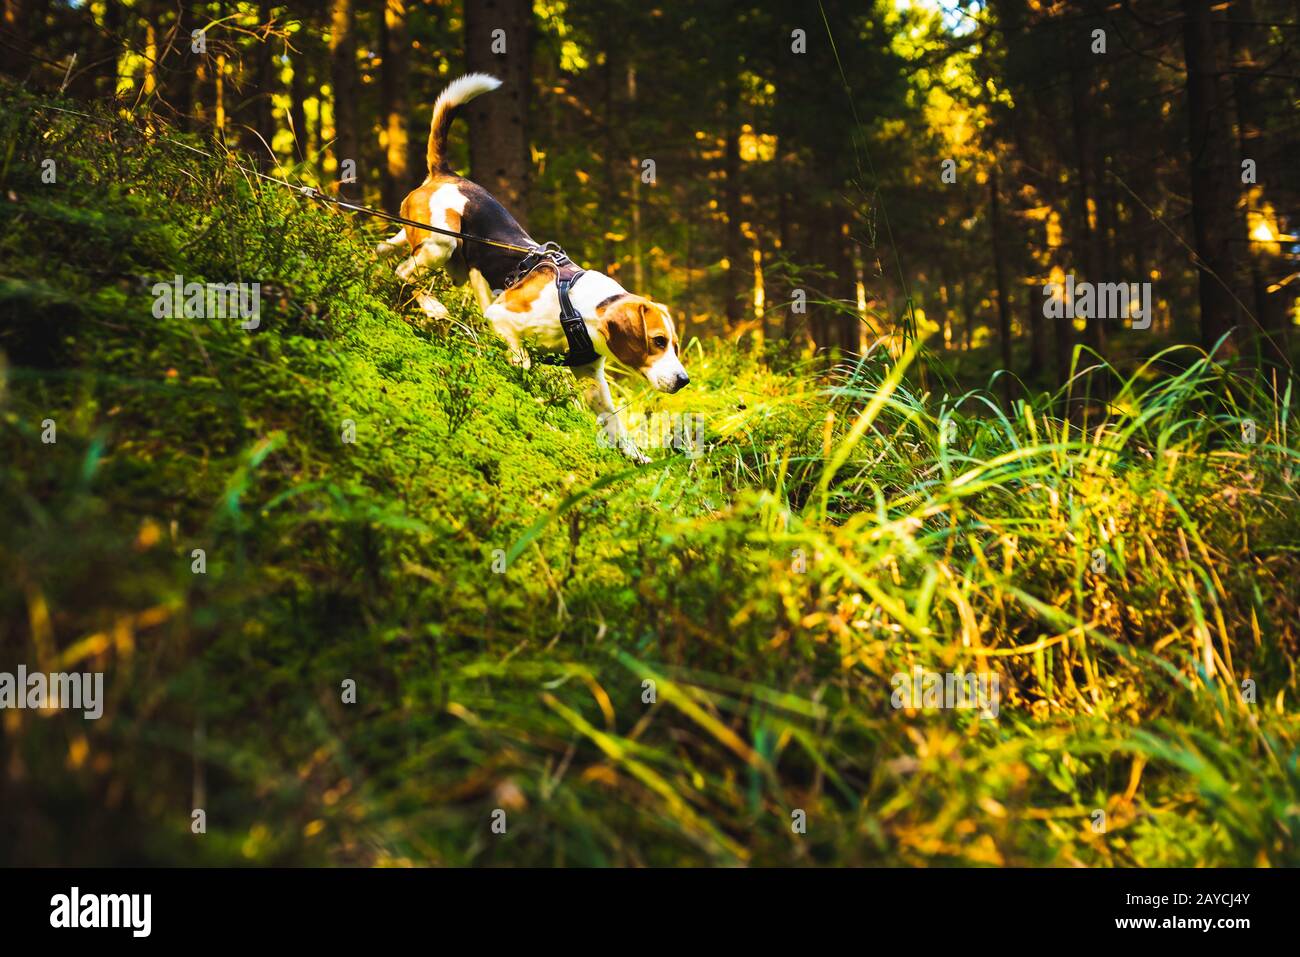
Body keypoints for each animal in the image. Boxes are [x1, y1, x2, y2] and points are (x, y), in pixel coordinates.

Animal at [377, 74, 691, 462]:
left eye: (674, 344)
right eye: (658, 341)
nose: (684, 380)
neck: (580, 309)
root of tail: (446, 175)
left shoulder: (591, 379)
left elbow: (614, 422)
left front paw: (635, 457)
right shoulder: (500, 316)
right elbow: (524, 360)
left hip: (422, 242)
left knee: (385, 255)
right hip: (440, 244)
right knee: (405, 275)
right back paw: (431, 305)